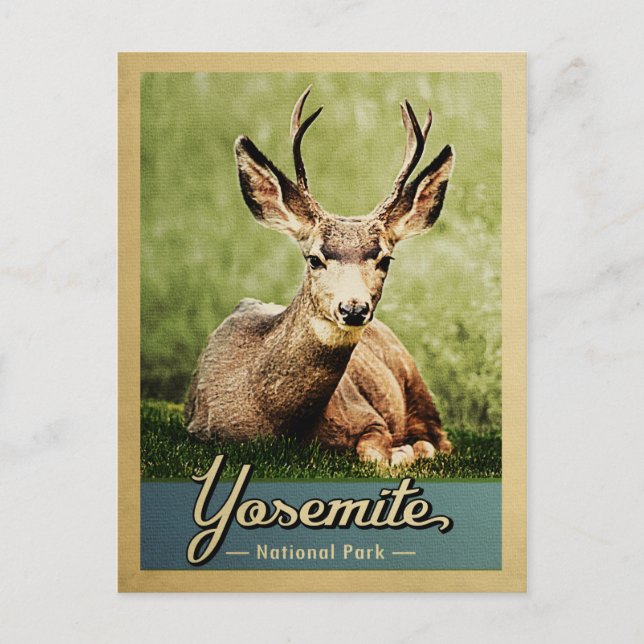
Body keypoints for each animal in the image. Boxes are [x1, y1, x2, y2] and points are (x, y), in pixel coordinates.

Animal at [185, 86, 454, 467]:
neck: (279, 425)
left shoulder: (369, 417)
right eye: (314, 258)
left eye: (385, 259)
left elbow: (376, 452)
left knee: (441, 440)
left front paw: (403, 452)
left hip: (415, 382)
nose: (354, 308)